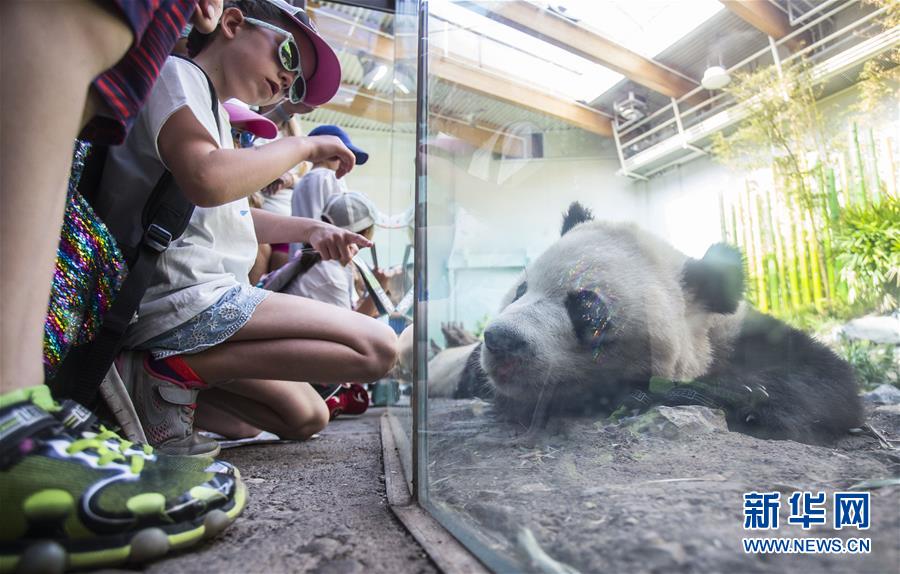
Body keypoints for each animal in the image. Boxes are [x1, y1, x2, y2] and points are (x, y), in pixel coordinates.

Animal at [440, 205, 860, 448]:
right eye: (521, 290)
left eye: (587, 310)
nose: (501, 339)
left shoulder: (747, 336)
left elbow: (826, 386)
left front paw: (737, 396)